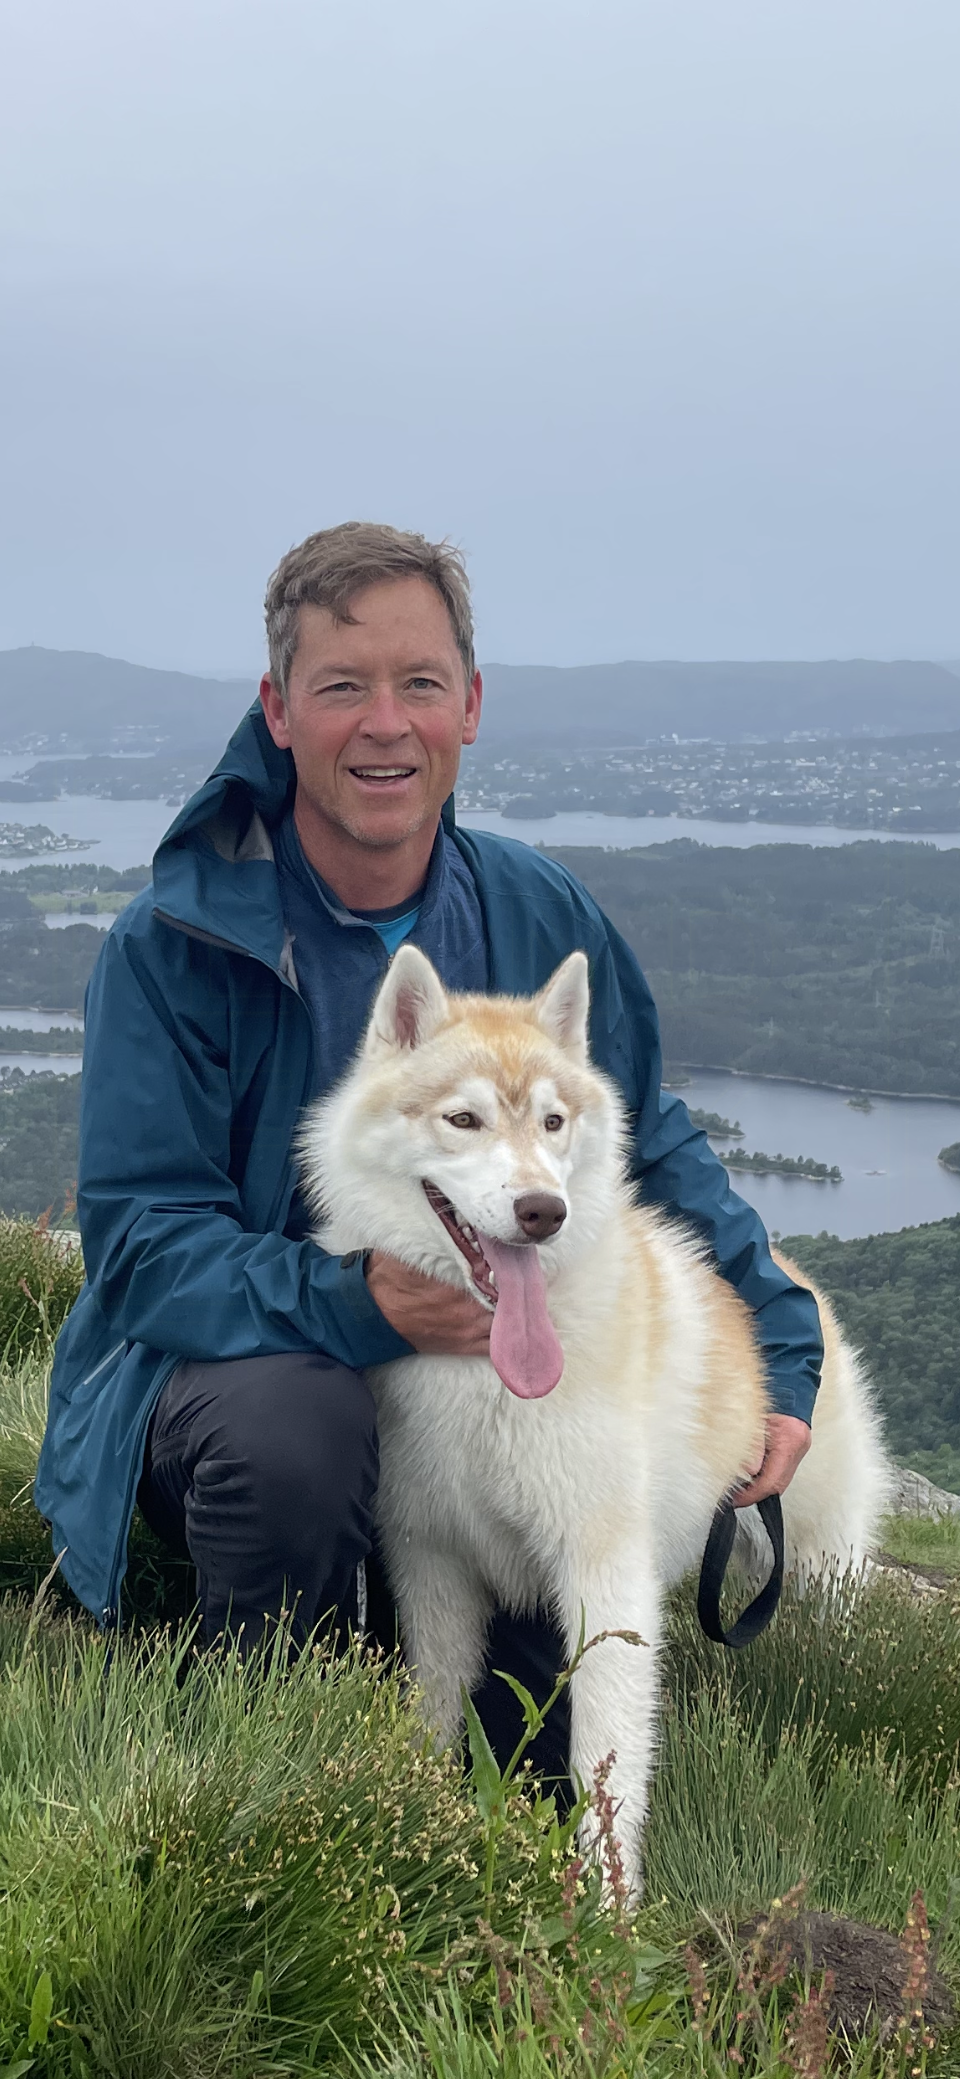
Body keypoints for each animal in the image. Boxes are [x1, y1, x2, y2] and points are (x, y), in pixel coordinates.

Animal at [299, 943, 891, 1898]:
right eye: (463, 1118)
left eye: (552, 1121)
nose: (544, 1211)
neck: (486, 1375)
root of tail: (800, 1276)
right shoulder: (431, 1563)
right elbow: (435, 1713)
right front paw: (417, 1810)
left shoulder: (604, 1579)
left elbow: (606, 1764)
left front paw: (611, 1908)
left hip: (822, 1568)